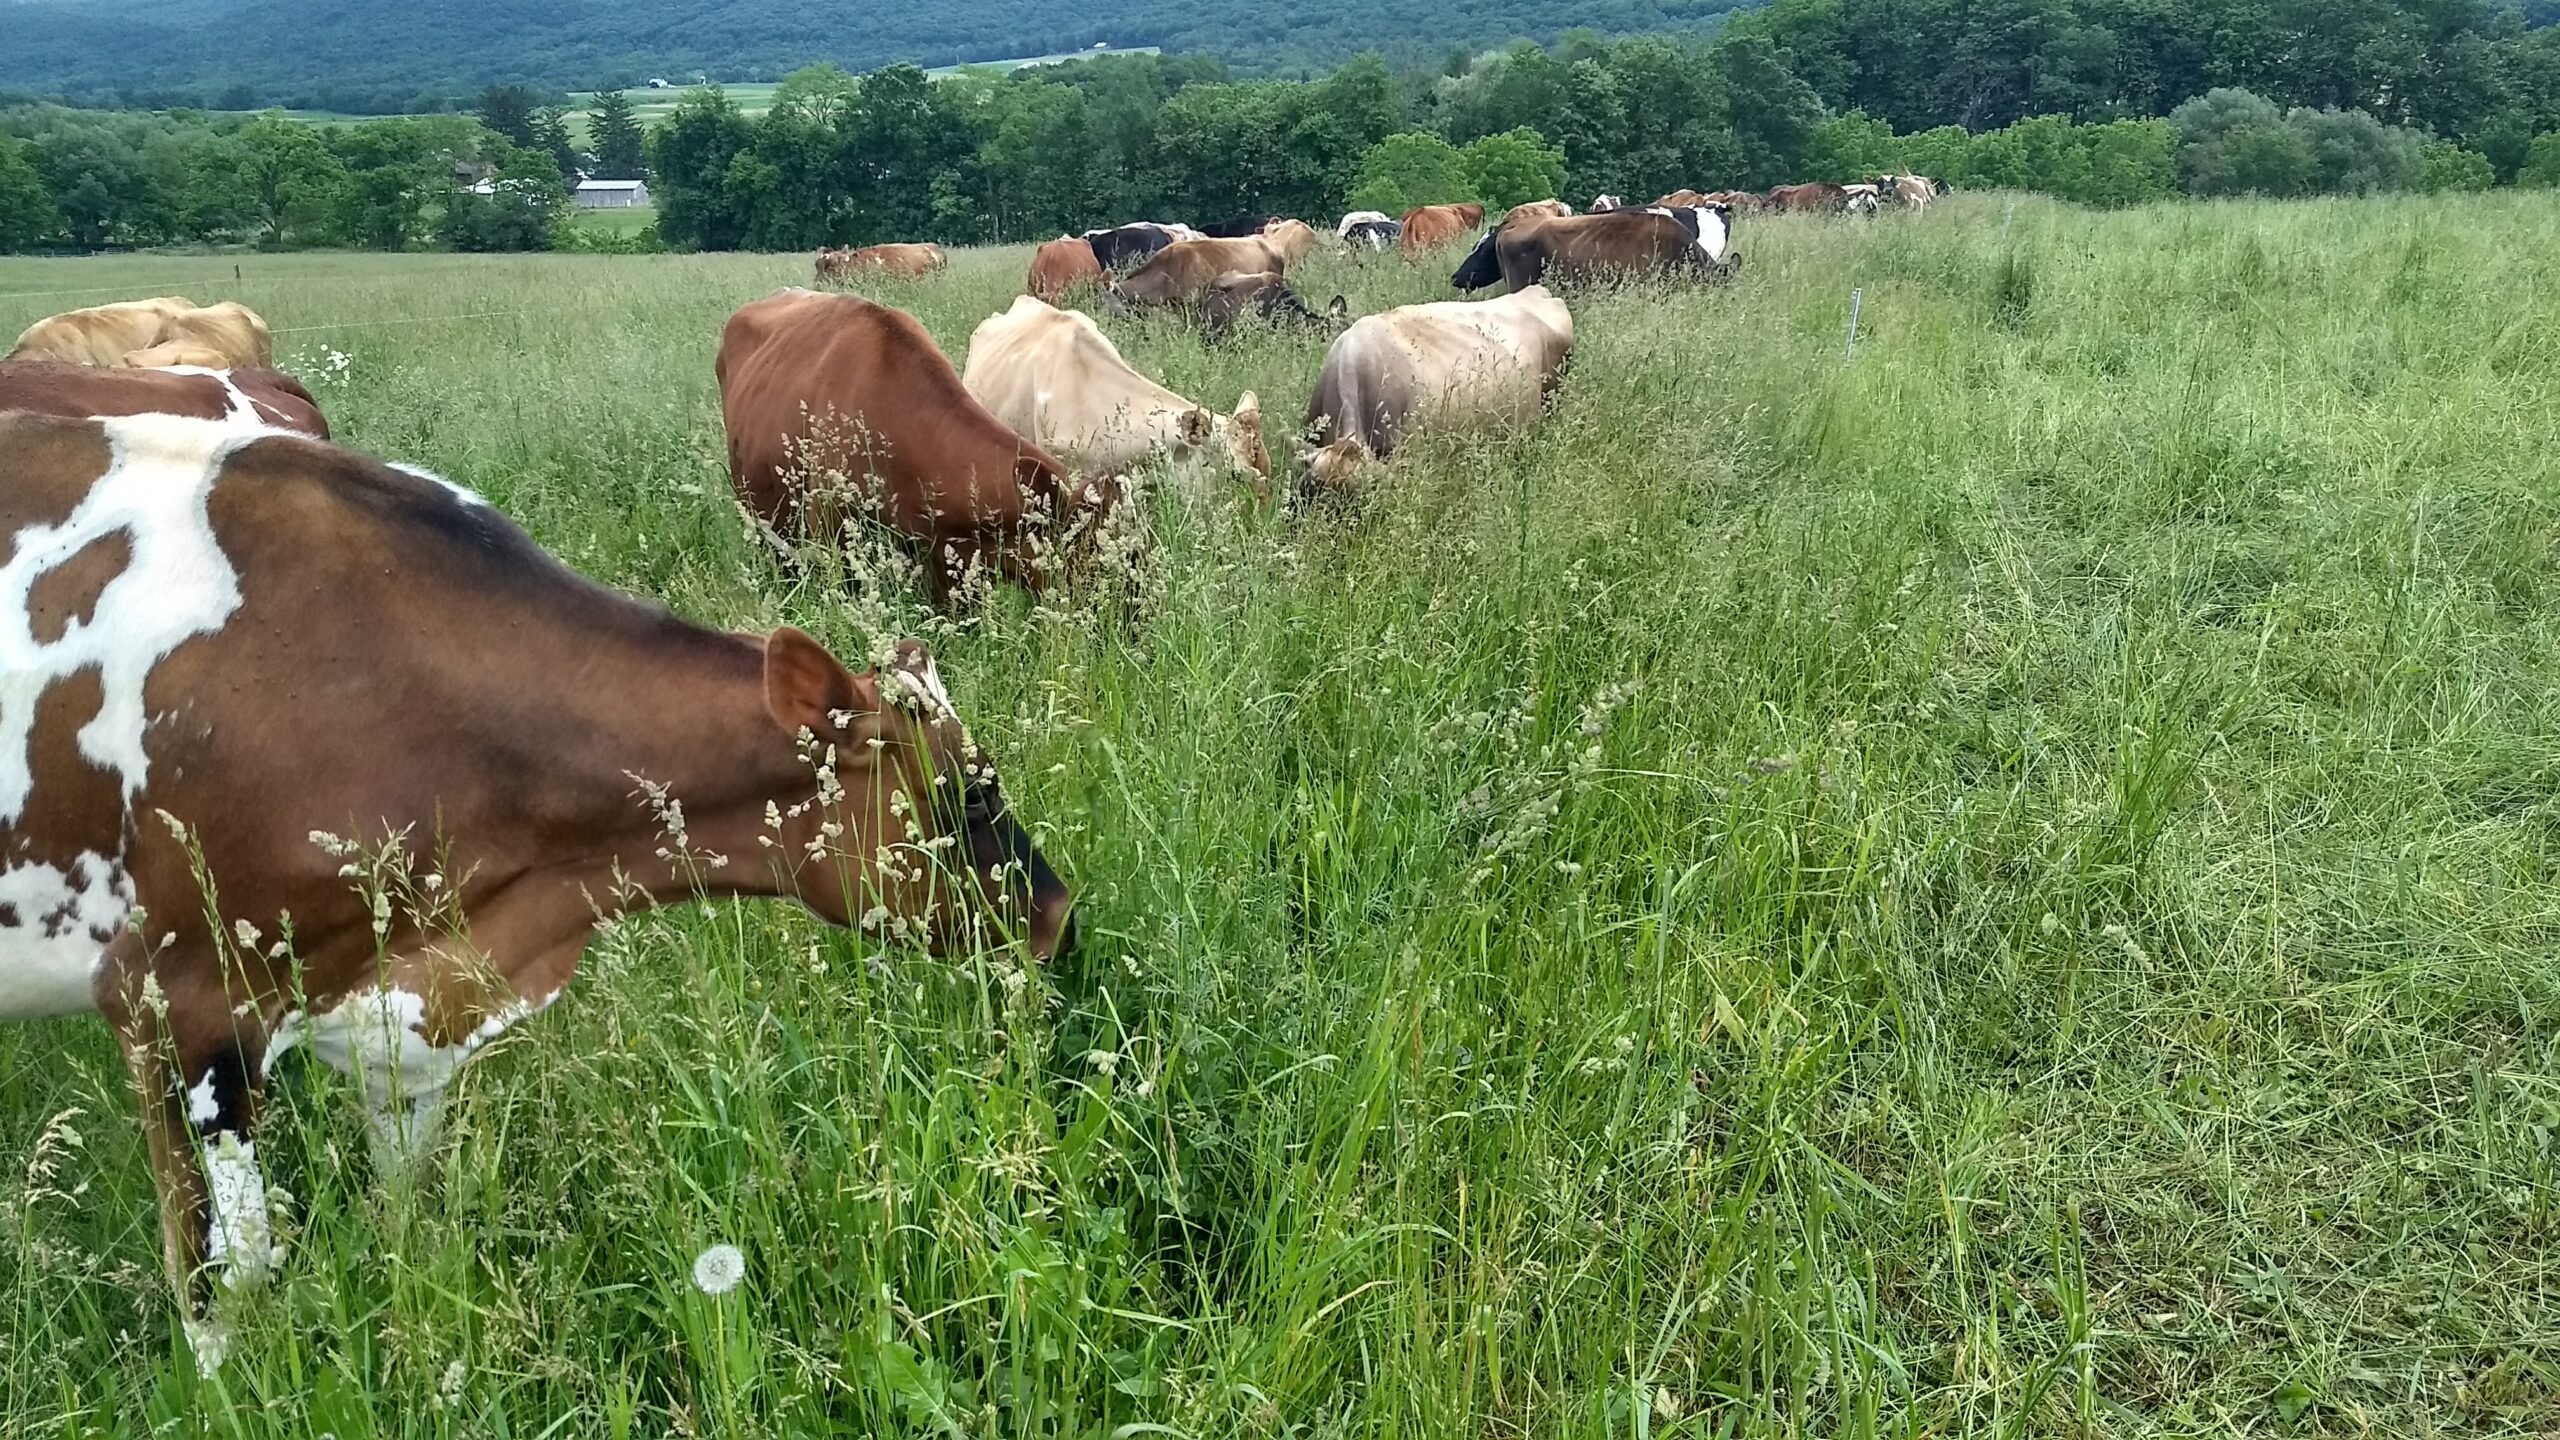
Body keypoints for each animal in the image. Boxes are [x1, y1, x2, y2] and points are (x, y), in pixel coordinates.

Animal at [0, 399, 1070, 1352]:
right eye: (964, 793)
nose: (1058, 913)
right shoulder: (175, 1002)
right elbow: (227, 1287)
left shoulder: (407, 1010)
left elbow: (408, 1210)